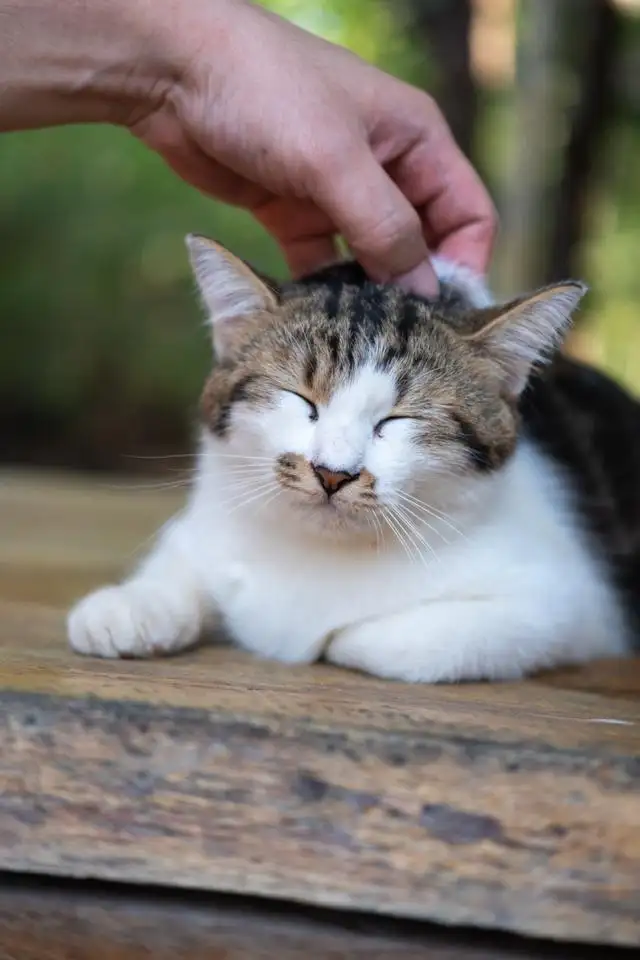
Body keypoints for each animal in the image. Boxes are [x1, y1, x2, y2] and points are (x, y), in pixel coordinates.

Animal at [66, 234, 640, 684]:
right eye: (301, 400)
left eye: (397, 421)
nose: (332, 473)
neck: (316, 550)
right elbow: (182, 560)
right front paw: (131, 604)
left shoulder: (564, 605)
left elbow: (389, 641)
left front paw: (329, 637)